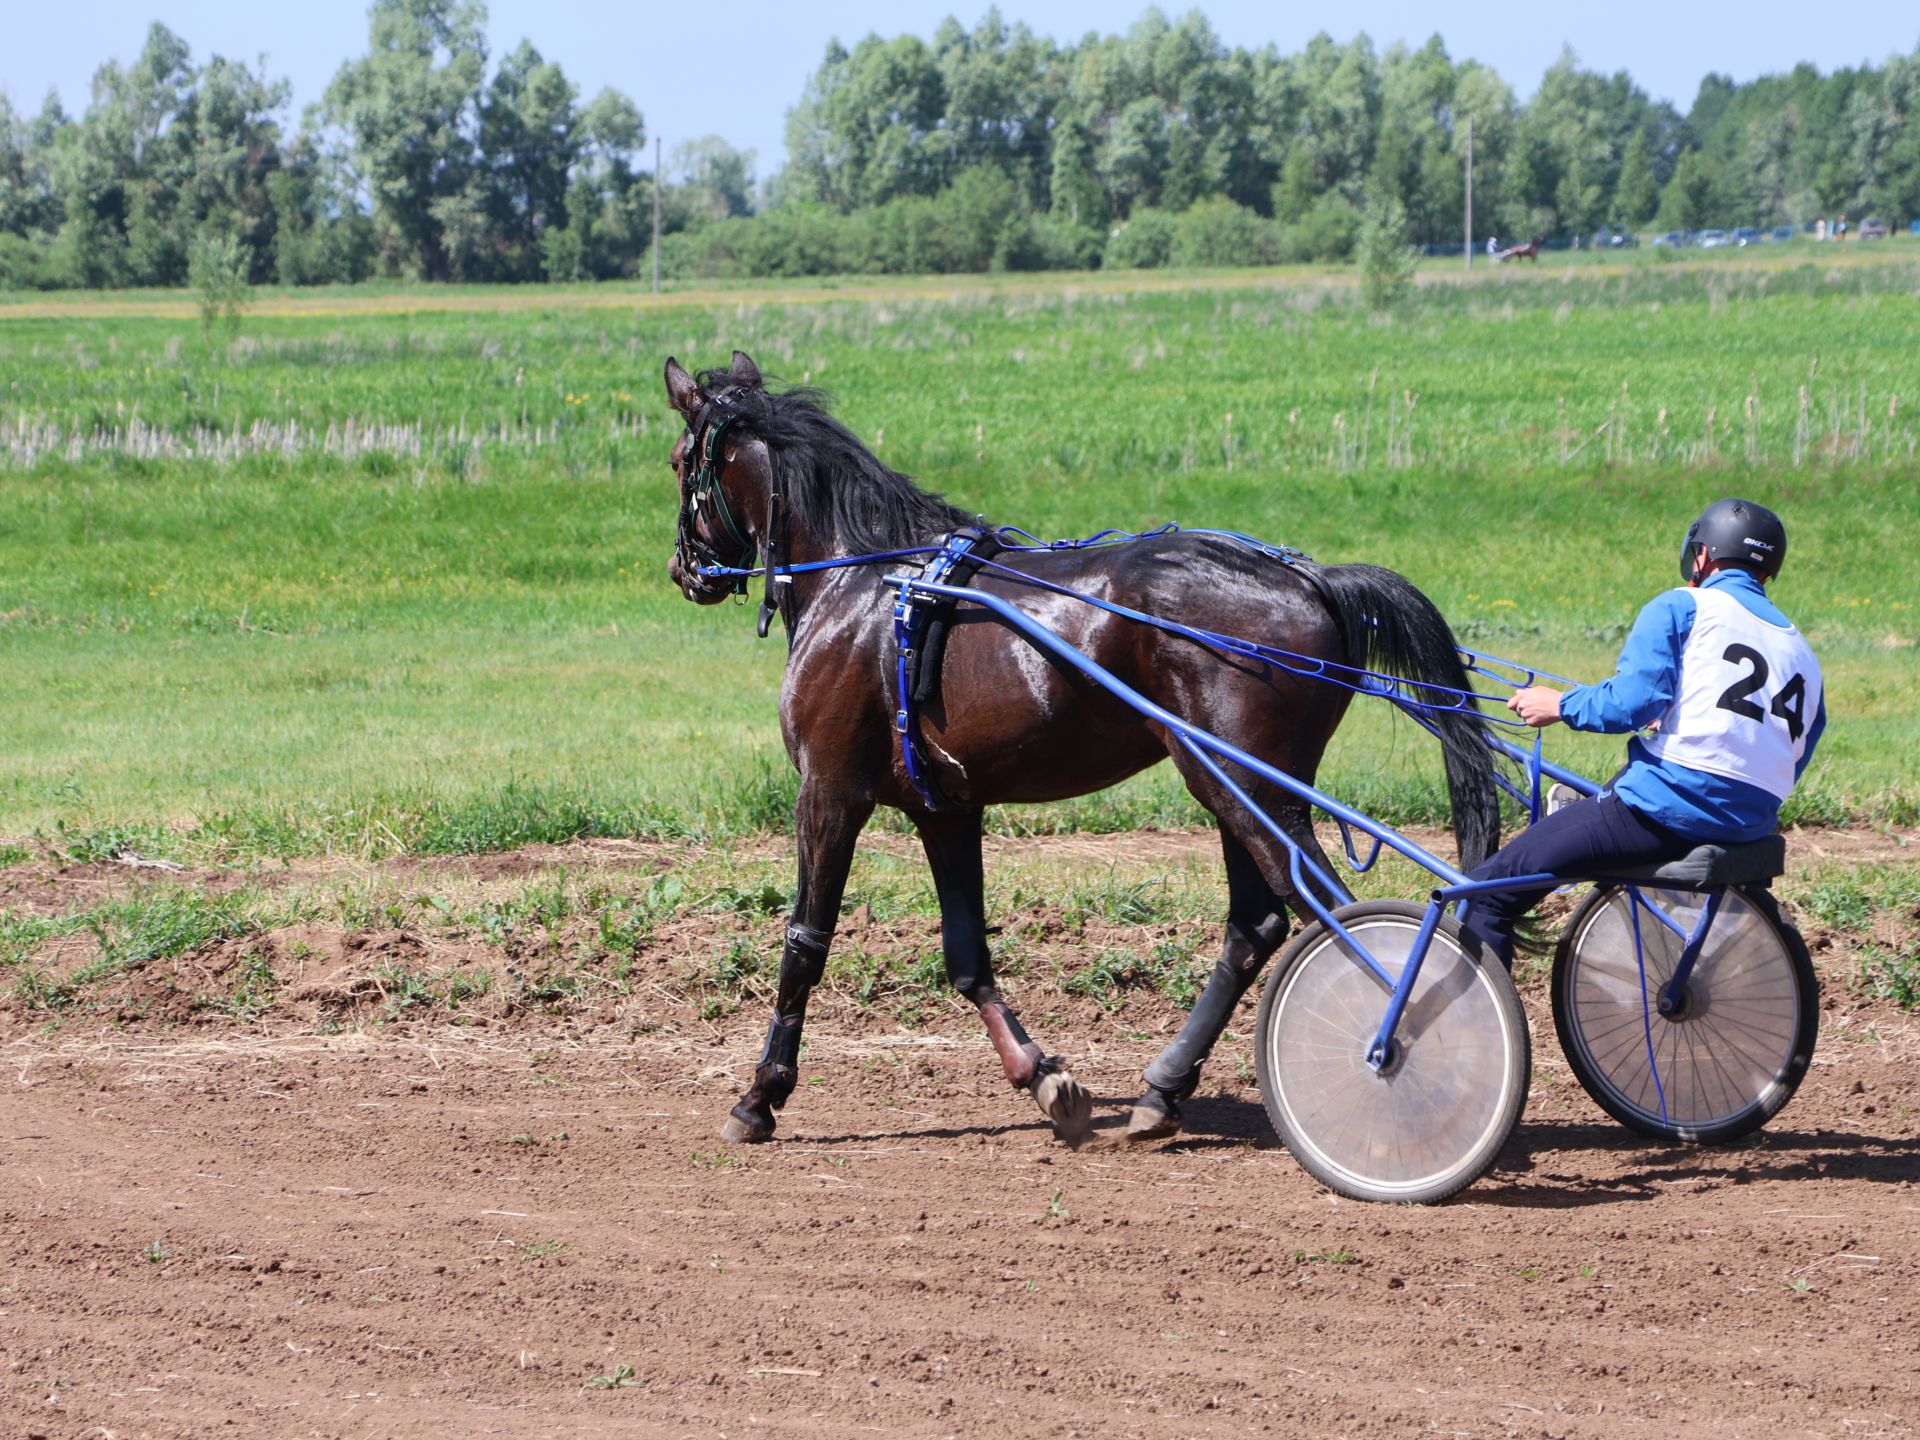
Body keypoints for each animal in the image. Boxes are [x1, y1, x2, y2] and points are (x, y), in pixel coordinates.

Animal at [668, 355, 1505, 1159]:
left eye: (679, 460)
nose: (683, 569)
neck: (867, 582)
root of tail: (1313, 581)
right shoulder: (946, 807)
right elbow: (966, 954)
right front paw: (1044, 1080)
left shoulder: (831, 790)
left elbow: (804, 944)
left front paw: (760, 1097)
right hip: (1236, 788)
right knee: (1256, 927)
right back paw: (1162, 1091)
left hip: (1243, 785)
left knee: (1332, 916)